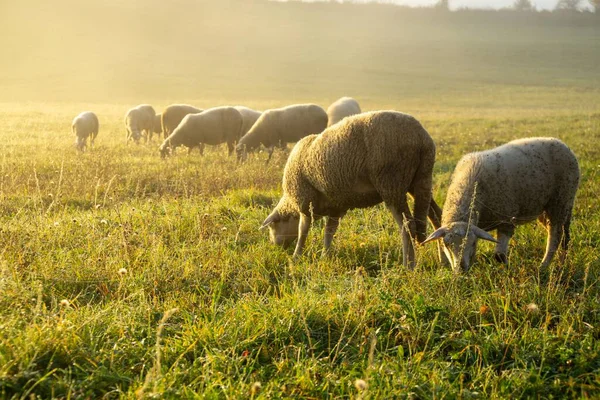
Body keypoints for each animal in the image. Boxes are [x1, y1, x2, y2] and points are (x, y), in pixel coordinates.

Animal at [260, 110, 442, 268]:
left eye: (272, 227)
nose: (275, 246)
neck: (290, 203)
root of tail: (421, 138)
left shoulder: (305, 203)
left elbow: (302, 231)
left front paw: (296, 257)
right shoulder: (336, 207)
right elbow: (329, 232)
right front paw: (325, 256)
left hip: (391, 183)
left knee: (408, 226)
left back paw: (408, 265)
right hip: (420, 180)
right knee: (435, 216)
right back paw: (443, 261)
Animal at [424, 138, 580, 276]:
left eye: (473, 243)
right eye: (446, 244)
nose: (461, 270)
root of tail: (562, 143)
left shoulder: (507, 219)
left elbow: (499, 255)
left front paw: (508, 270)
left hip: (560, 201)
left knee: (555, 236)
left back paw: (543, 266)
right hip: (551, 207)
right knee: (564, 236)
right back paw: (561, 262)